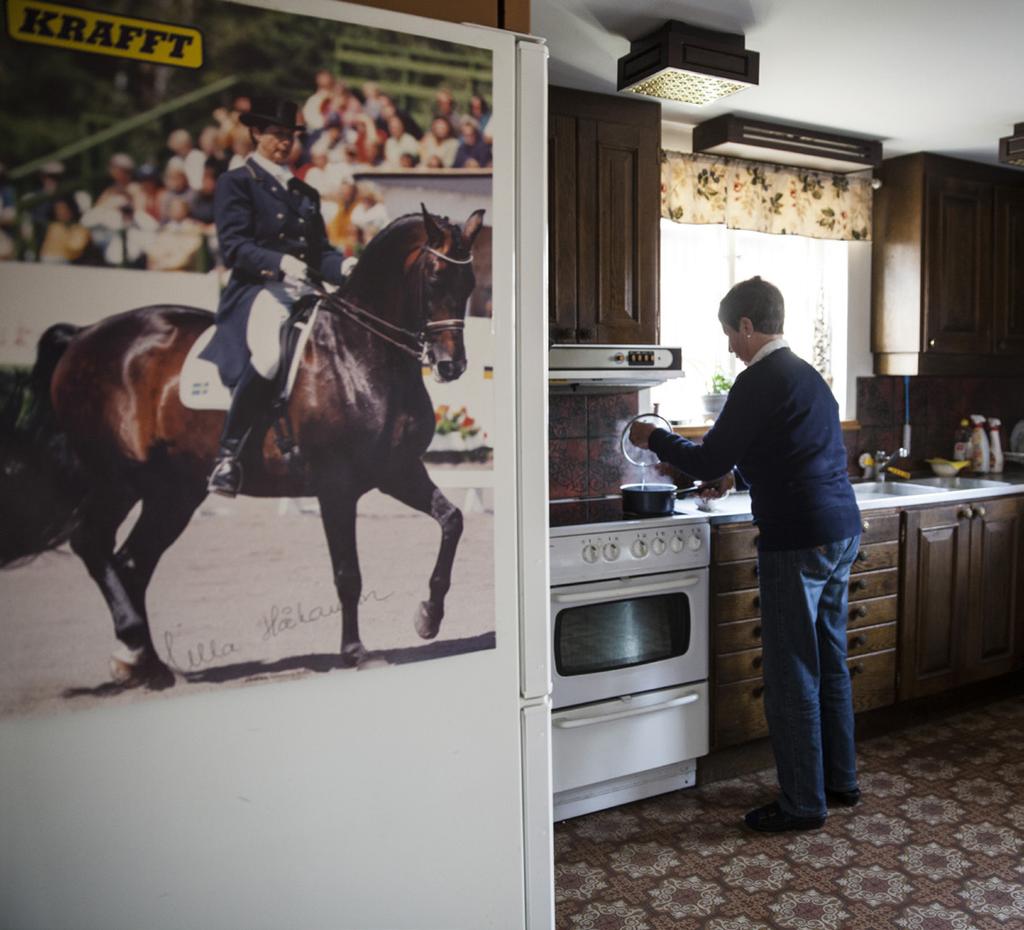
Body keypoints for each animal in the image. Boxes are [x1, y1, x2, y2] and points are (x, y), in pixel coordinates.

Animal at [11, 206, 483, 688]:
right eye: (434, 277)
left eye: (469, 283)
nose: (451, 366)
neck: (359, 352)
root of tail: (83, 335)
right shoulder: (336, 485)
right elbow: (347, 573)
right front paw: (356, 652)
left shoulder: (396, 470)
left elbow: (452, 520)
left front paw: (428, 618)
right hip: (117, 477)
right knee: (92, 543)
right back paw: (134, 651)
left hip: (172, 491)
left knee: (131, 561)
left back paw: (143, 661)